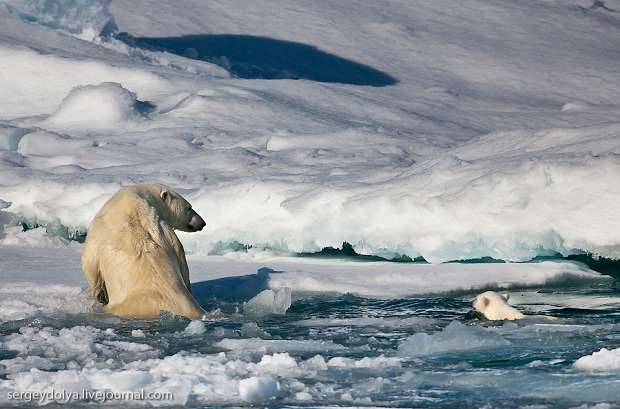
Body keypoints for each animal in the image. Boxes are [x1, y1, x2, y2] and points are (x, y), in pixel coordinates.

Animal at [81, 182, 208, 318]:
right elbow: (181, 256)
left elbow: (90, 263)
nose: (202, 223)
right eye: (189, 207)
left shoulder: (99, 228)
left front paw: (100, 296)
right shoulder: (165, 230)